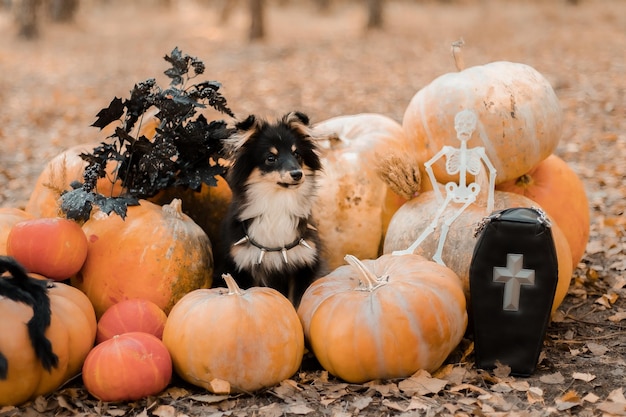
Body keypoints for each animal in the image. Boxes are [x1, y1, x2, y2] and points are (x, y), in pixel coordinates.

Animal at [218, 110, 324, 306]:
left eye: (297, 154)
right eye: (270, 158)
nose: (298, 174)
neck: (277, 202)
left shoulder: (303, 264)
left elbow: (296, 302)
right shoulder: (243, 265)